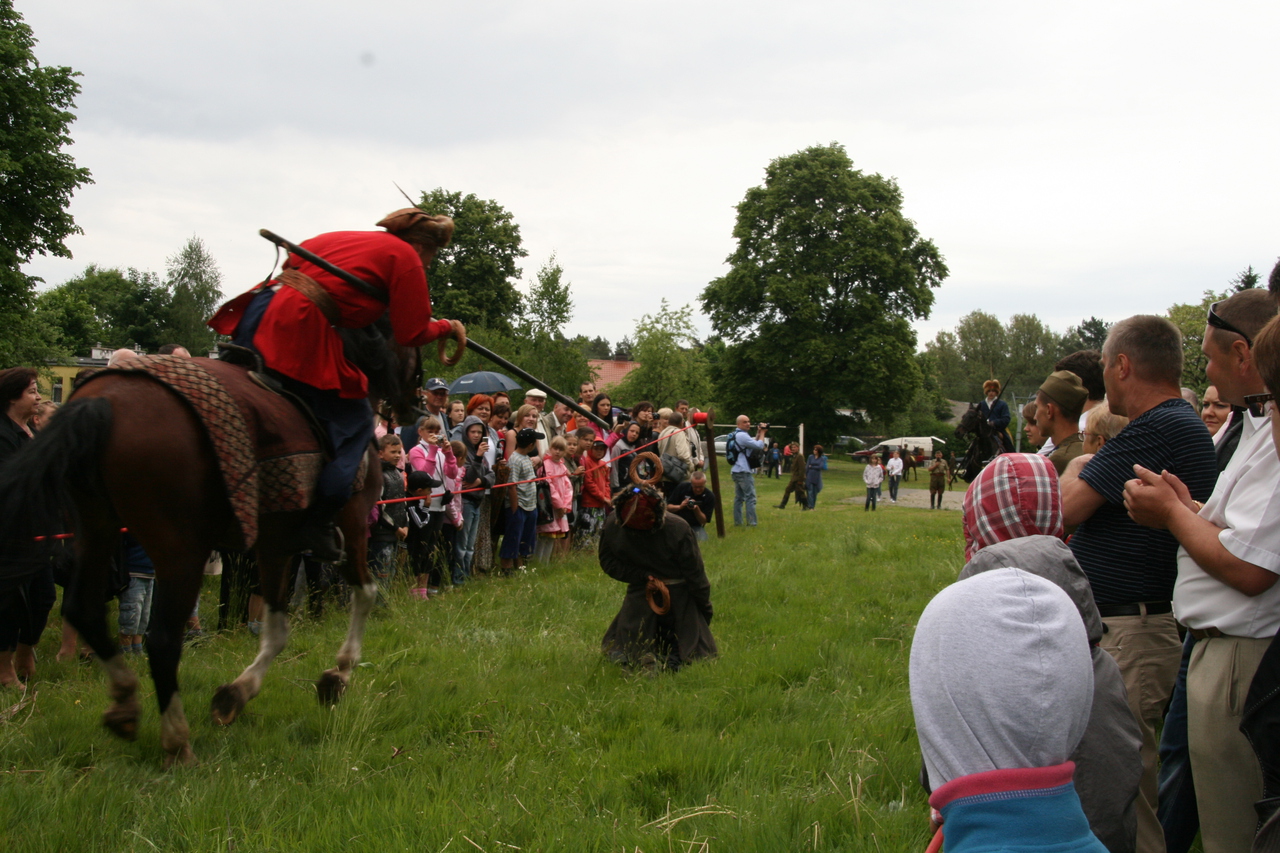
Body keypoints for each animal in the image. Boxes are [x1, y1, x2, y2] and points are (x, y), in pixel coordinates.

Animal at [0, 318, 430, 763]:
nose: (413, 404)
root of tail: (102, 402)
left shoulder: (274, 544)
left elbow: (276, 628)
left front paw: (236, 695)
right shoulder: (352, 521)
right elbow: (365, 594)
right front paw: (338, 674)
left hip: (95, 527)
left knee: (83, 609)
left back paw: (125, 703)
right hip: (179, 548)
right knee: (161, 638)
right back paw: (176, 739)